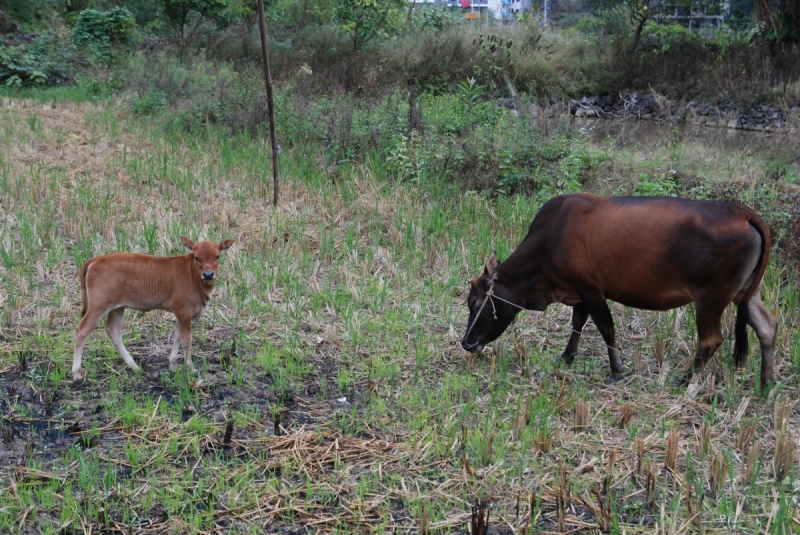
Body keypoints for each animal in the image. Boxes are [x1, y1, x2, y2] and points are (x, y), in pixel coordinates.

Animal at [70, 237, 234, 384]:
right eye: (196, 257)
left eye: (217, 256)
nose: (208, 274)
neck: (192, 275)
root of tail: (96, 259)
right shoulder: (184, 311)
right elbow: (187, 340)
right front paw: (191, 368)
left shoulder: (180, 314)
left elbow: (177, 337)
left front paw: (173, 365)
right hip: (98, 306)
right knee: (82, 330)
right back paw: (76, 373)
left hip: (117, 307)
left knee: (113, 330)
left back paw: (135, 367)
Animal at [460, 195, 780, 388]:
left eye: (475, 304)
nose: (466, 343)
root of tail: (743, 212)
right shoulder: (579, 291)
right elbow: (577, 324)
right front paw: (567, 356)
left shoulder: (590, 288)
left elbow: (606, 328)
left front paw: (616, 370)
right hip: (746, 293)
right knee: (767, 327)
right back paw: (765, 383)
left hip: (711, 298)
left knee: (711, 340)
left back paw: (683, 380)